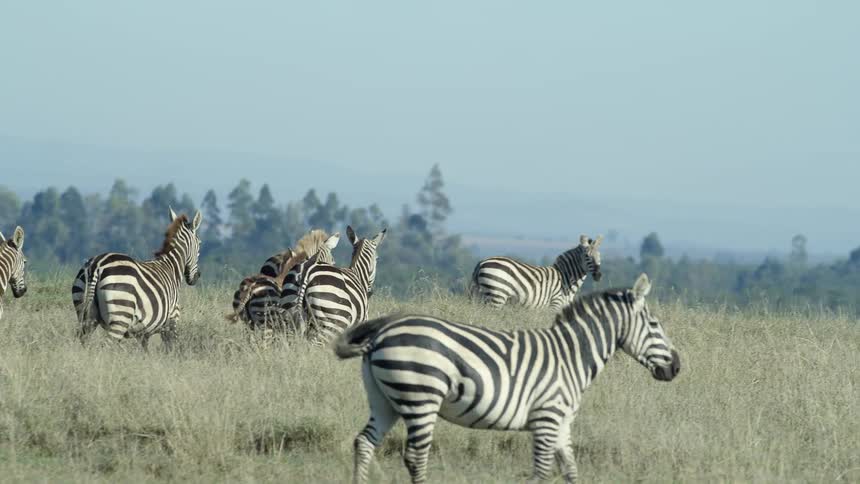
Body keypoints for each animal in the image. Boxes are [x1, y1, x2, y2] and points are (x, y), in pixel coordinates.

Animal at [71, 208, 202, 350]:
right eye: (200, 244)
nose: (197, 276)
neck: (171, 266)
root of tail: (97, 265)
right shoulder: (171, 320)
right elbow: (171, 348)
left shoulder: (143, 332)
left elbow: (144, 351)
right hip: (120, 315)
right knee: (106, 346)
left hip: (84, 313)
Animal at [335, 273, 680, 484]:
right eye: (654, 325)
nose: (676, 367)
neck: (572, 355)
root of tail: (381, 333)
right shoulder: (547, 419)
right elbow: (541, 472)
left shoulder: (562, 423)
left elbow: (570, 471)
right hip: (421, 396)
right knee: (416, 457)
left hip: (385, 399)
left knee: (364, 443)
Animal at [471, 235, 603, 310]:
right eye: (587, 256)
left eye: (599, 255)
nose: (598, 275)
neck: (566, 279)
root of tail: (482, 262)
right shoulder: (554, 304)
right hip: (497, 295)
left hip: (483, 296)